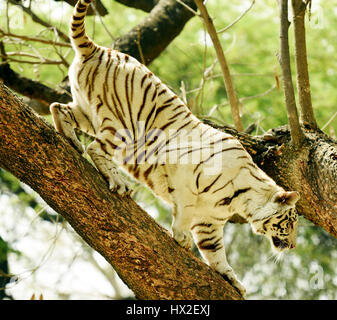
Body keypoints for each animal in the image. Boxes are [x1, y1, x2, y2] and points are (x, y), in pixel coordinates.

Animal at [48, 0, 298, 298]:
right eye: (290, 223)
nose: (293, 245)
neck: (242, 200)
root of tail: (99, 48)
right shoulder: (185, 179)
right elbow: (184, 210)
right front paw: (180, 236)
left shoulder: (210, 222)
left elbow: (216, 252)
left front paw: (231, 279)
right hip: (122, 128)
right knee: (96, 148)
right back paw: (118, 182)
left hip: (87, 112)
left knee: (57, 107)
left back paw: (71, 140)